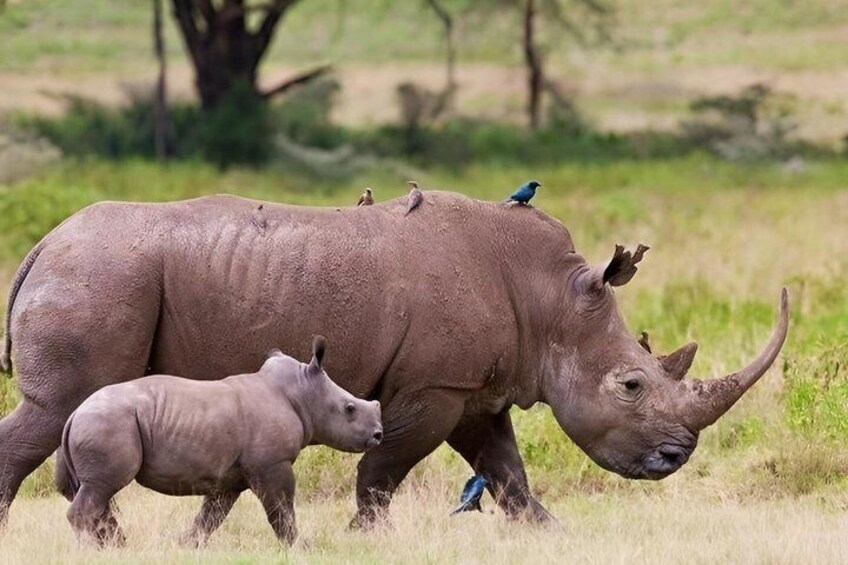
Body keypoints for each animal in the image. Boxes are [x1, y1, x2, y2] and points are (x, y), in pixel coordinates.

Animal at [54, 336, 382, 546]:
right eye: (349, 409)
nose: (378, 434)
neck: (302, 393)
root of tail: (74, 414)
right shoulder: (272, 463)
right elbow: (281, 509)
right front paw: (301, 547)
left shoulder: (229, 474)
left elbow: (212, 515)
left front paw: (186, 545)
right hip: (107, 423)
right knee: (102, 487)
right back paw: (93, 549)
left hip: (101, 422)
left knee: (98, 491)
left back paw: (117, 547)